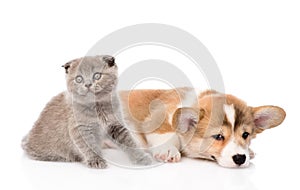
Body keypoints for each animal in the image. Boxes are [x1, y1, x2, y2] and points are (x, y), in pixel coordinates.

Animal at [22, 55, 152, 168]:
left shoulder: (115, 125)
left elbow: (129, 141)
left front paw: (142, 158)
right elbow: (89, 146)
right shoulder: (80, 128)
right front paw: (96, 160)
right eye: (79, 79)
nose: (88, 84)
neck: (97, 107)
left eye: (97, 76)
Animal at [118, 88, 284, 168]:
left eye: (245, 135)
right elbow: (167, 134)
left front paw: (249, 151)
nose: (240, 158)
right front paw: (168, 150)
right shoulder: (158, 119)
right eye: (218, 136)